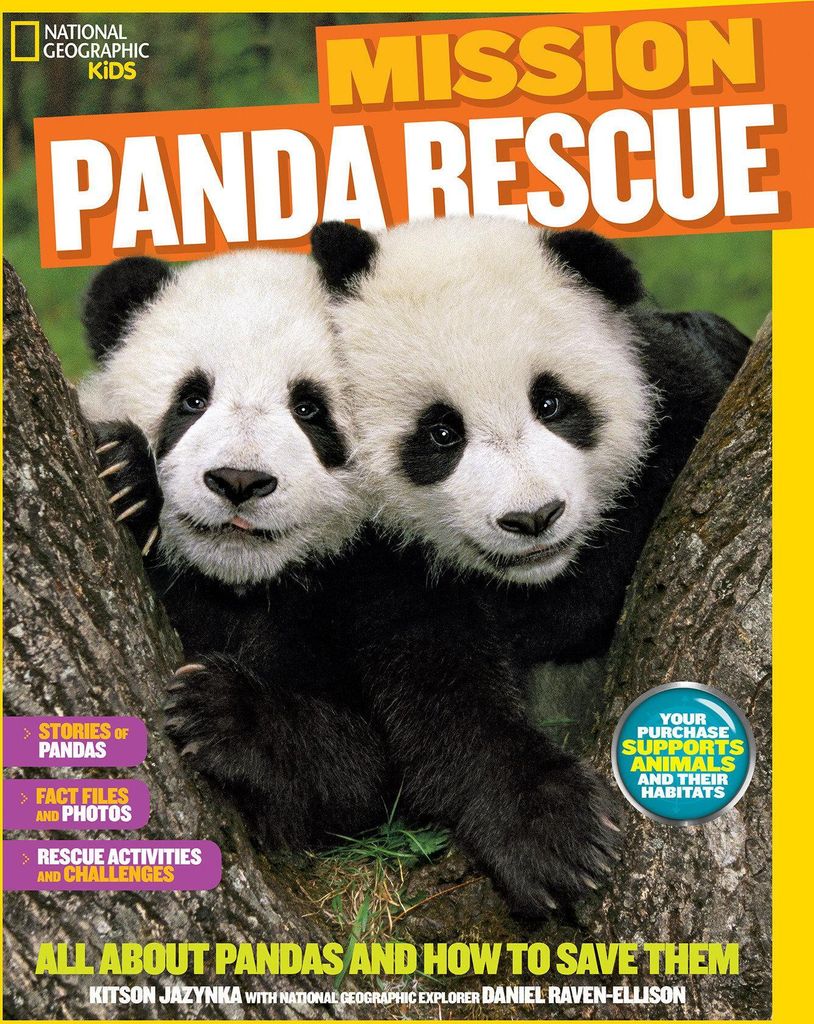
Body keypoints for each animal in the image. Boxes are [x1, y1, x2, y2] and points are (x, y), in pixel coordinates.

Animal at [79, 249, 386, 848]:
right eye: (193, 399)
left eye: (310, 409)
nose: (238, 480)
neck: (238, 581)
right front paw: (124, 473)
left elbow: (370, 770)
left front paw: (222, 712)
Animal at [311, 216, 750, 915]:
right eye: (441, 432)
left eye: (552, 403)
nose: (533, 518)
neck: (536, 578)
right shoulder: (376, 553)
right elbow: (435, 678)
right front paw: (552, 835)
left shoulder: (679, 404)